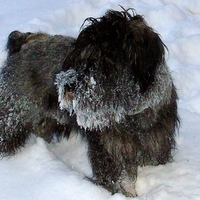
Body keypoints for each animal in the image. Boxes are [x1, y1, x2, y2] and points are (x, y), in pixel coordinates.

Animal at [0, 9, 180, 197]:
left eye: (106, 61)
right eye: (80, 57)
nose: (68, 85)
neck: (132, 115)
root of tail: (24, 41)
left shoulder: (157, 145)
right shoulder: (109, 152)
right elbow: (119, 179)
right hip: (14, 117)